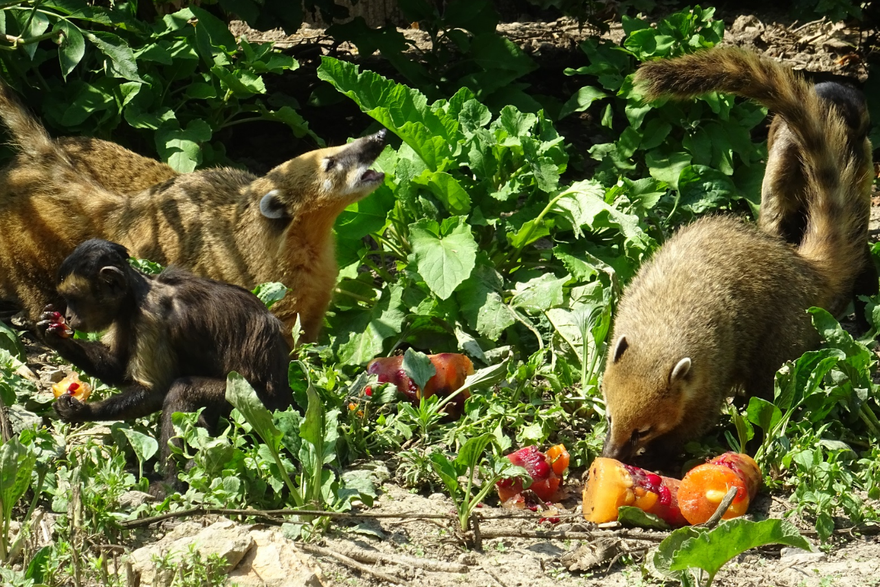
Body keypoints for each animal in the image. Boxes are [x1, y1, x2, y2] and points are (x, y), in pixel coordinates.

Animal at [38, 238, 292, 486]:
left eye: (74, 299)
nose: (67, 316)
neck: (136, 296)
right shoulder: (124, 317)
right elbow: (117, 368)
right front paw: (53, 336)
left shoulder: (151, 318)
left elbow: (156, 391)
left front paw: (81, 411)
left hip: (255, 404)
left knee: (182, 391)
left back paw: (170, 485)